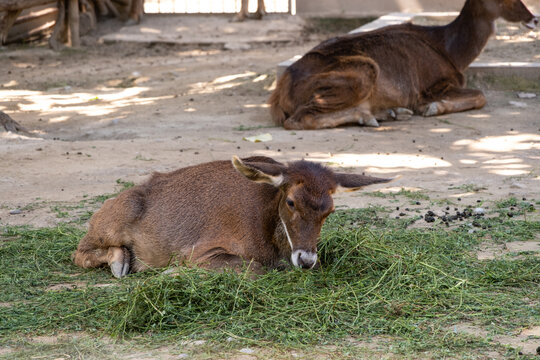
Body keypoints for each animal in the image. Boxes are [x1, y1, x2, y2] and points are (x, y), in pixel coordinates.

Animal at [73, 156, 392, 278]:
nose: (305, 259)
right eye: (290, 201)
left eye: (330, 210)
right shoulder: (200, 251)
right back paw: (121, 262)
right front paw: (173, 272)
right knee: (79, 252)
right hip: (112, 220)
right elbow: (255, 268)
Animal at [270, 0, 536, 129]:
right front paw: (432, 108)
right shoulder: (431, 86)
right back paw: (369, 117)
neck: (453, 53)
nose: (534, 19)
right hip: (362, 70)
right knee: (298, 119)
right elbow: (481, 95)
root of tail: (279, 92)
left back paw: (390, 113)